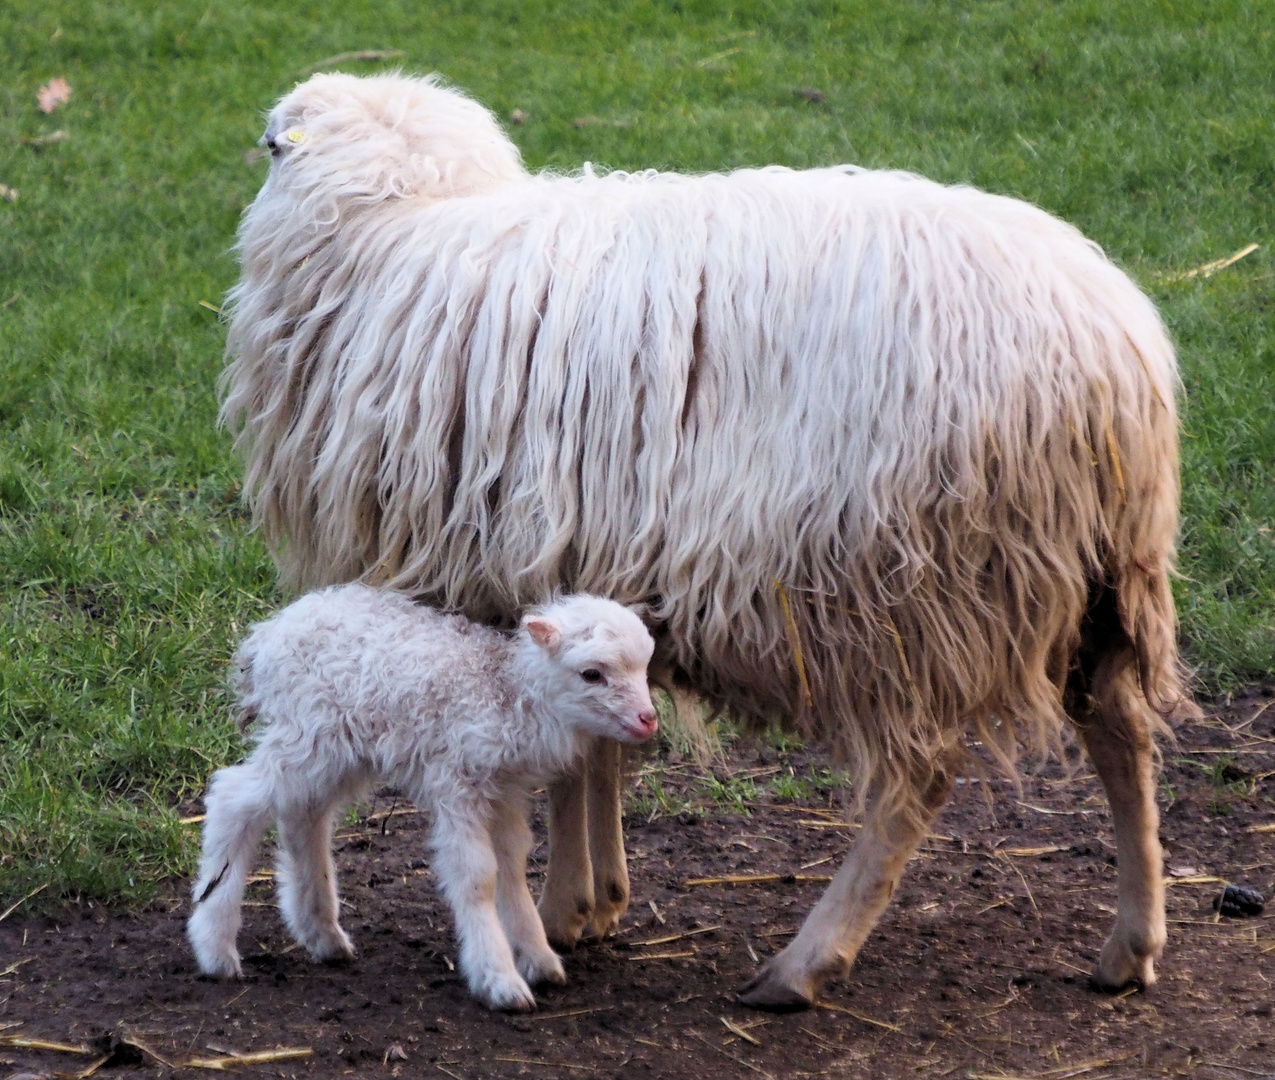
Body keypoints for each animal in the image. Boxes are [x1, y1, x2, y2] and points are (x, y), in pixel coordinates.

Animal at [187, 583, 657, 1014]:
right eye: (592, 674)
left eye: (645, 668)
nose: (648, 720)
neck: (507, 693)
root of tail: (268, 634)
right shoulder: (457, 782)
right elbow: (478, 875)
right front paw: (500, 980)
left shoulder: (503, 793)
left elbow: (512, 869)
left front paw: (538, 960)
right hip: (308, 734)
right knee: (233, 798)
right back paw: (216, 948)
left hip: (336, 749)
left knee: (306, 816)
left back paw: (324, 935)